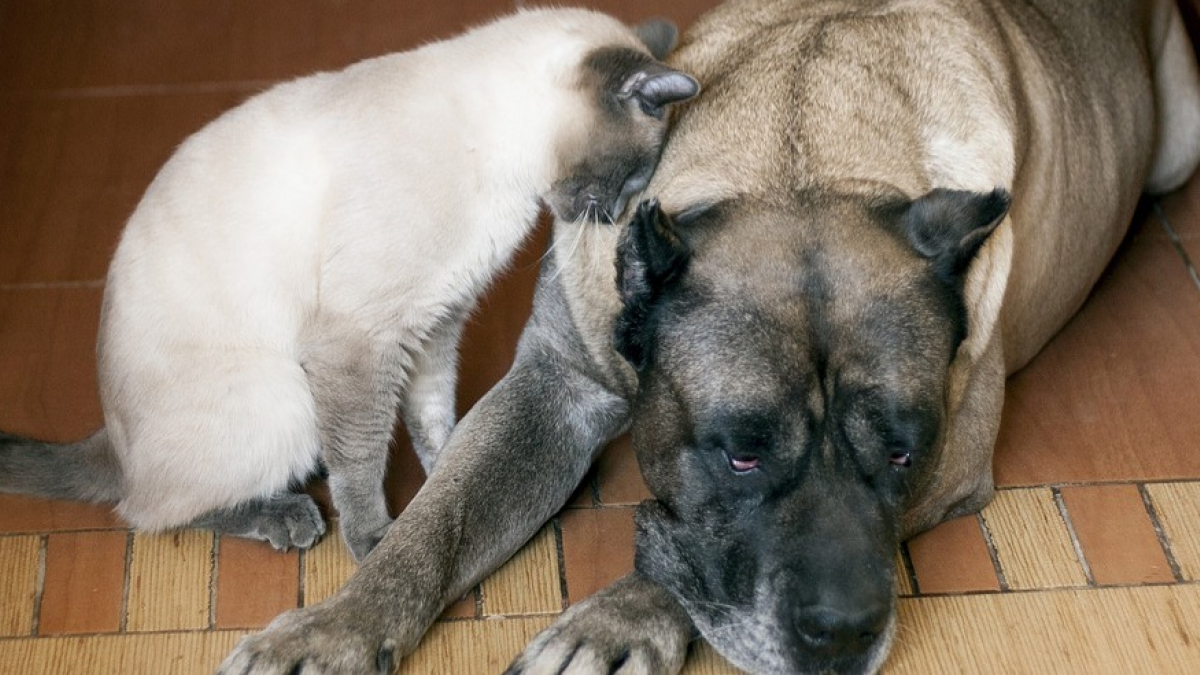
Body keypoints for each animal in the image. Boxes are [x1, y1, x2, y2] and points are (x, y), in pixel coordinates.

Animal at [0, 7, 700, 559]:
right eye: (633, 176)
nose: (614, 216)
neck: (503, 172)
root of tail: (109, 440)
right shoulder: (362, 341)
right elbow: (363, 457)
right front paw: (373, 537)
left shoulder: (432, 326)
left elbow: (432, 416)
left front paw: (448, 474)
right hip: (284, 398)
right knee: (150, 512)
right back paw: (288, 516)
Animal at [218, 1, 1200, 672]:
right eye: (739, 453)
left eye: (902, 454)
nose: (844, 633)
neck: (801, 154)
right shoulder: (553, 385)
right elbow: (437, 519)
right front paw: (334, 627)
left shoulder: (956, 458)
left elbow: (684, 560)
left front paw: (616, 618)